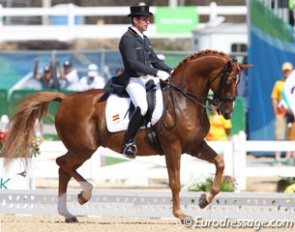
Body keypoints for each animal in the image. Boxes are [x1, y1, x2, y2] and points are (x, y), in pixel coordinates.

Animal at [1, 50, 252, 223]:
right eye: (229, 80)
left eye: (239, 81)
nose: (227, 112)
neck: (184, 99)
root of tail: (65, 98)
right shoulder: (173, 147)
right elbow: (175, 181)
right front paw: (181, 214)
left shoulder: (194, 145)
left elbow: (220, 162)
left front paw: (204, 199)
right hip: (84, 148)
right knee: (62, 164)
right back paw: (84, 195)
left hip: (82, 149)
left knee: (64, 168)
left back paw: (69, 211)